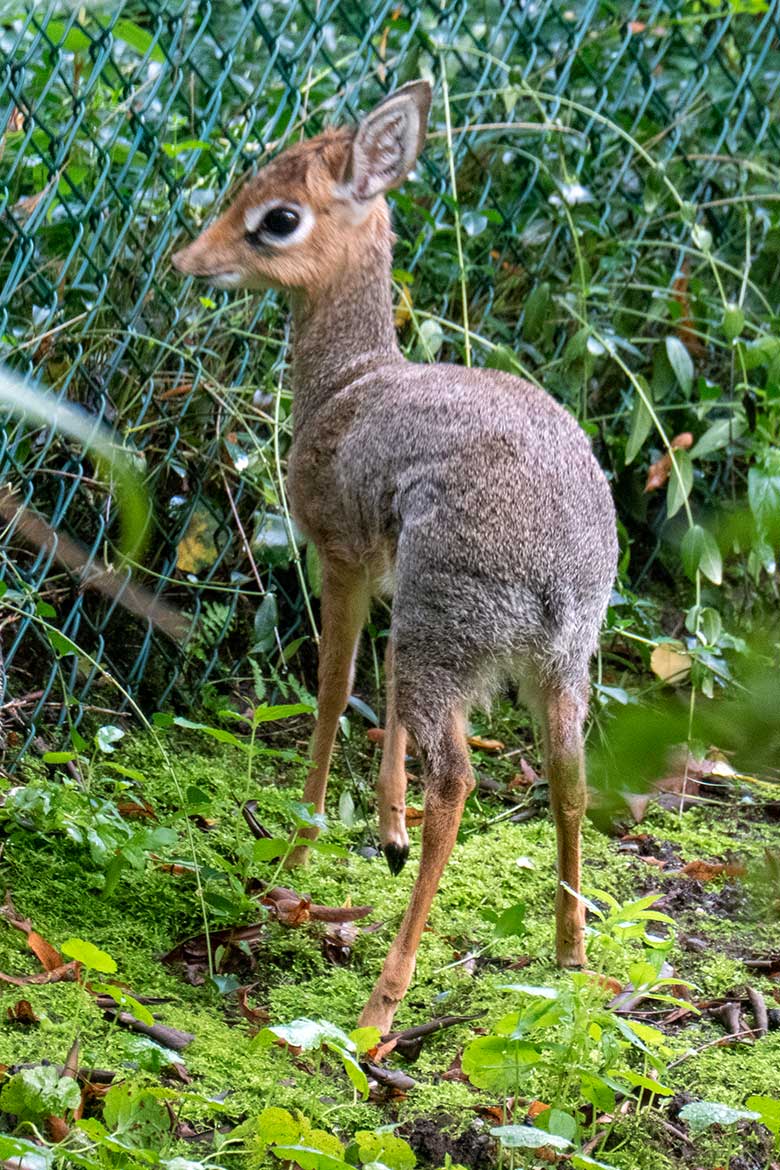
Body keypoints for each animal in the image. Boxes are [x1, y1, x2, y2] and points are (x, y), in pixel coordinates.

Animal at [174, 84, 617, 1034]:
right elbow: (372, 692)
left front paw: (300, 848)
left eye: (278, 216)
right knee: (570, 773)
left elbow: (336, 684)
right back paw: (569, 950)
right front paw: (385, 831)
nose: (194, 260)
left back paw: (381, 1005)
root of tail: (561, 570)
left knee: (460, 780)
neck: (349, 384)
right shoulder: (384, 577)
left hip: (445, 638)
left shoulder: (340, 559)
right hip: (552, 663)